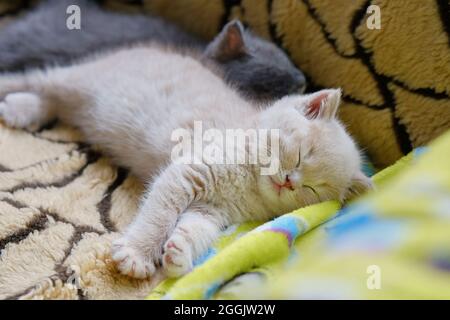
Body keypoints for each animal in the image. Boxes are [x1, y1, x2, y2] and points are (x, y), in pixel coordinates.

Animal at [0, 43, 370, 278]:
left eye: (314, 189)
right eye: (299, 154)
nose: (289, 181)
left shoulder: (212, 210)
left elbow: (196, 228)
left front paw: (179, 253)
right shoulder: (187, 171)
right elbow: (159, 214)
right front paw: (137, 254)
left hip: (80, 102)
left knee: (54, 103)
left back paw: (22, 110)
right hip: (80, 81)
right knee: (38, 78)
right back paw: (13, 95)